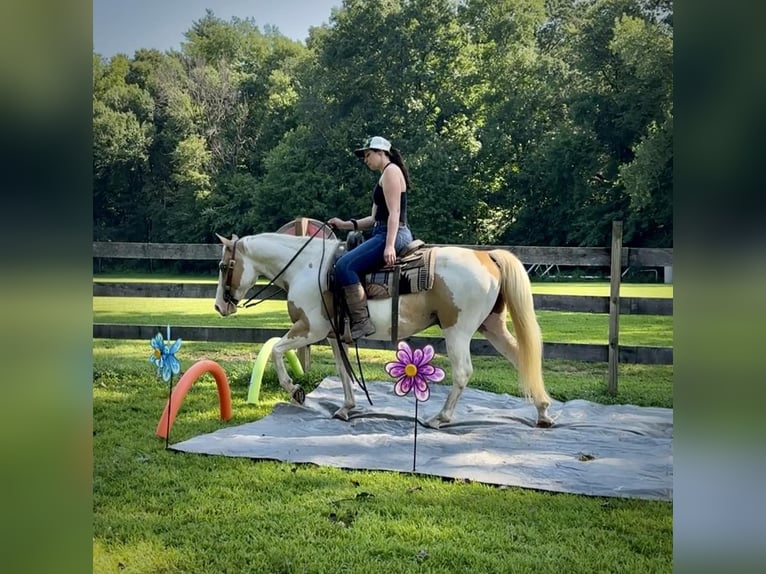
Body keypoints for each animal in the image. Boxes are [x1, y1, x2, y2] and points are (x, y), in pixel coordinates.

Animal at [213, 232, 556, 430]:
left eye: (223, 266)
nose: (219, 306)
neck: (306, 268)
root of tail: (486, 256)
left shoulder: (310, 329)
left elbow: (276, 350)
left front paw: (295, 391)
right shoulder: (334, 336)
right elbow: (342, 371)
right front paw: (346, 408)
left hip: (457, 330)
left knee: (463, 372)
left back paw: (440, 418)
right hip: (492, 326)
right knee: (522, 359)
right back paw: (542, 412)